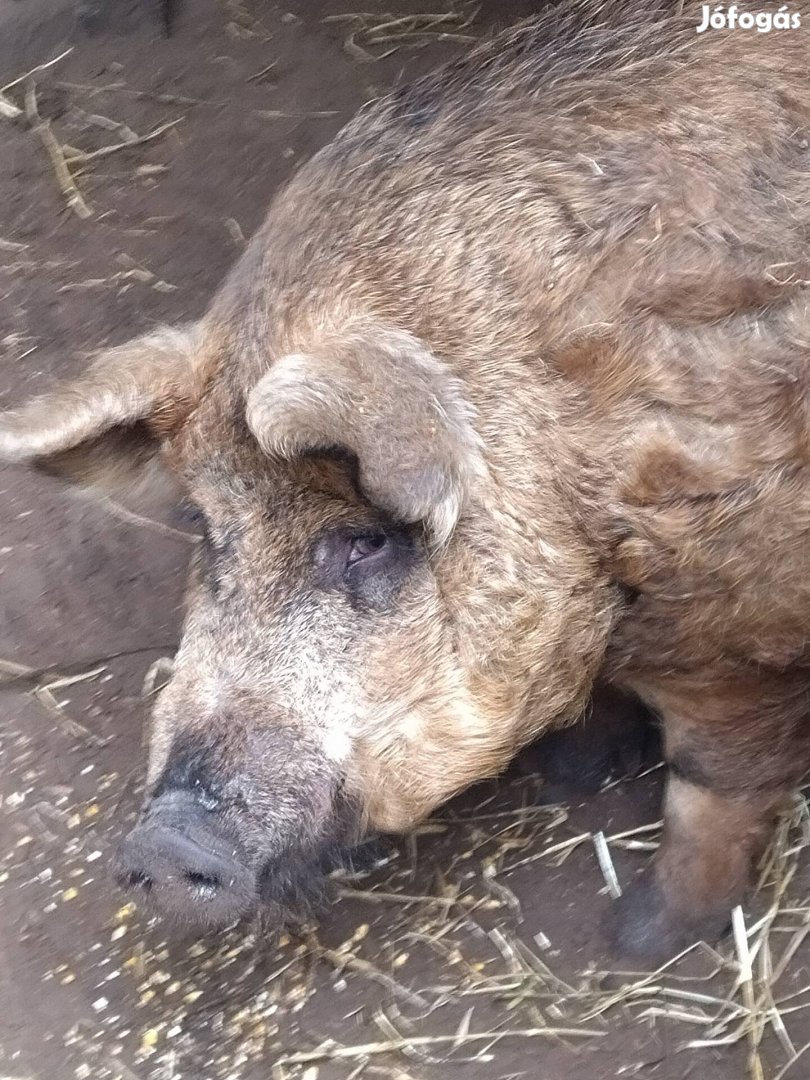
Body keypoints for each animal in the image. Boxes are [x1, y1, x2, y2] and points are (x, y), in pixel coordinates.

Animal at [1, 2, 810, 963]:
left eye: (366, 540)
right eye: (206, 528)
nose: (161, 845)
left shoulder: (740, 627)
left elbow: (715, 783)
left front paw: (638, 941)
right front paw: (578, 773)